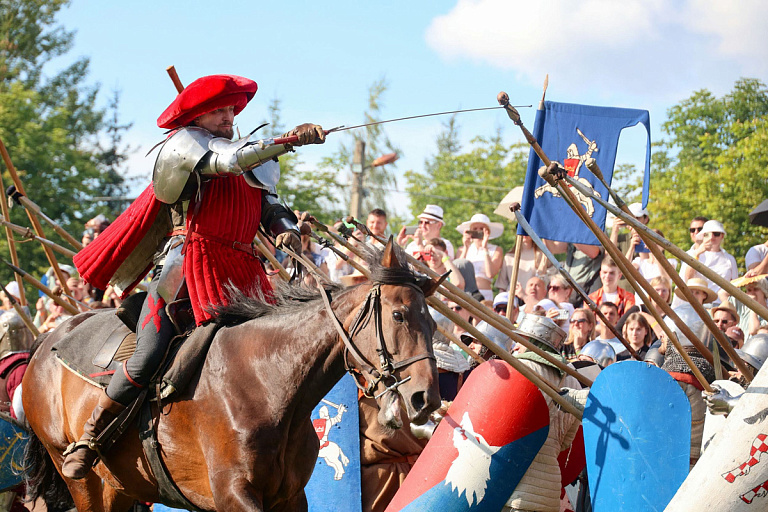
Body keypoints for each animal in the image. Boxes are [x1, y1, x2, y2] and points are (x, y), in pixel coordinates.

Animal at [21, 242, 440, 510]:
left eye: (434, 324)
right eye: (399, 315)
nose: (427, 399)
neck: (269, 384)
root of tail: (46, 342)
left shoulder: (289, 498)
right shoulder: (233, 495)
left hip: (118, 488)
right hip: (84, 482)